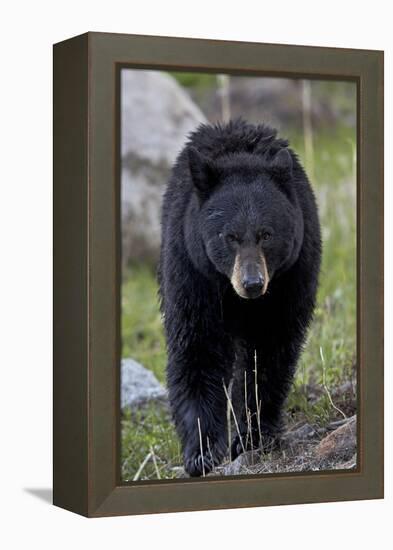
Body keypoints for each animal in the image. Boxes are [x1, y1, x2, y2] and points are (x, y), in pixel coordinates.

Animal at [158, 118, 320, 476]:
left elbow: (268, 352)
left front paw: (253, 437)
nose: (252, 283)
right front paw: (202, 451)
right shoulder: (192, 271)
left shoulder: (289, 278)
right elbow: (198, 346)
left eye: (266, 234)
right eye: (229, 236)